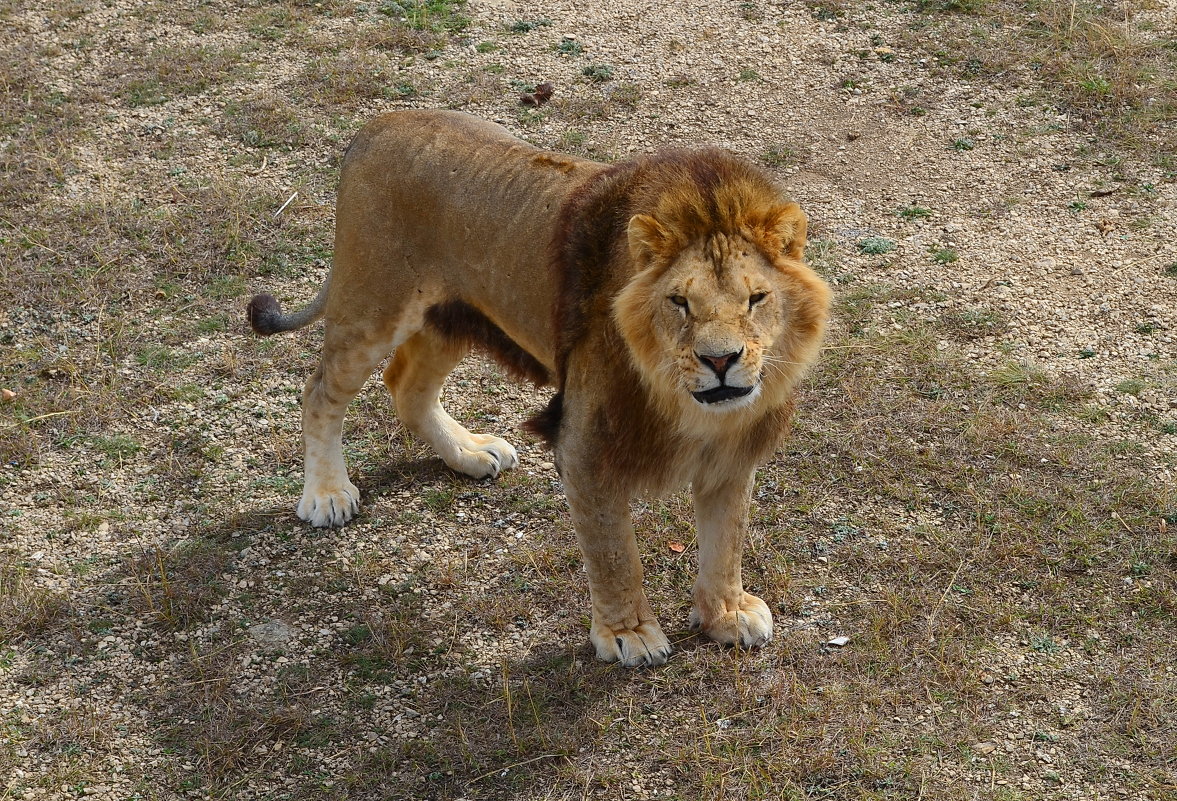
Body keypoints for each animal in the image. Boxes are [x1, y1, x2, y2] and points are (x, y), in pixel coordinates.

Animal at [250, 109, 828, 663]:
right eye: (679, 303)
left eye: (756, 299)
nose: (720, 360)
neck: (686, 401)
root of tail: (374, 127)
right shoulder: (586, 447)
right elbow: (614, 551)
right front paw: (629, 634)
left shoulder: (733, 448)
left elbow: (726, 538)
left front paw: (725, 613)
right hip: (370, 306)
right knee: (319, 392)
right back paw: (327, 494)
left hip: (452, 315)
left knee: (405, 385)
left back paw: (469, 452)